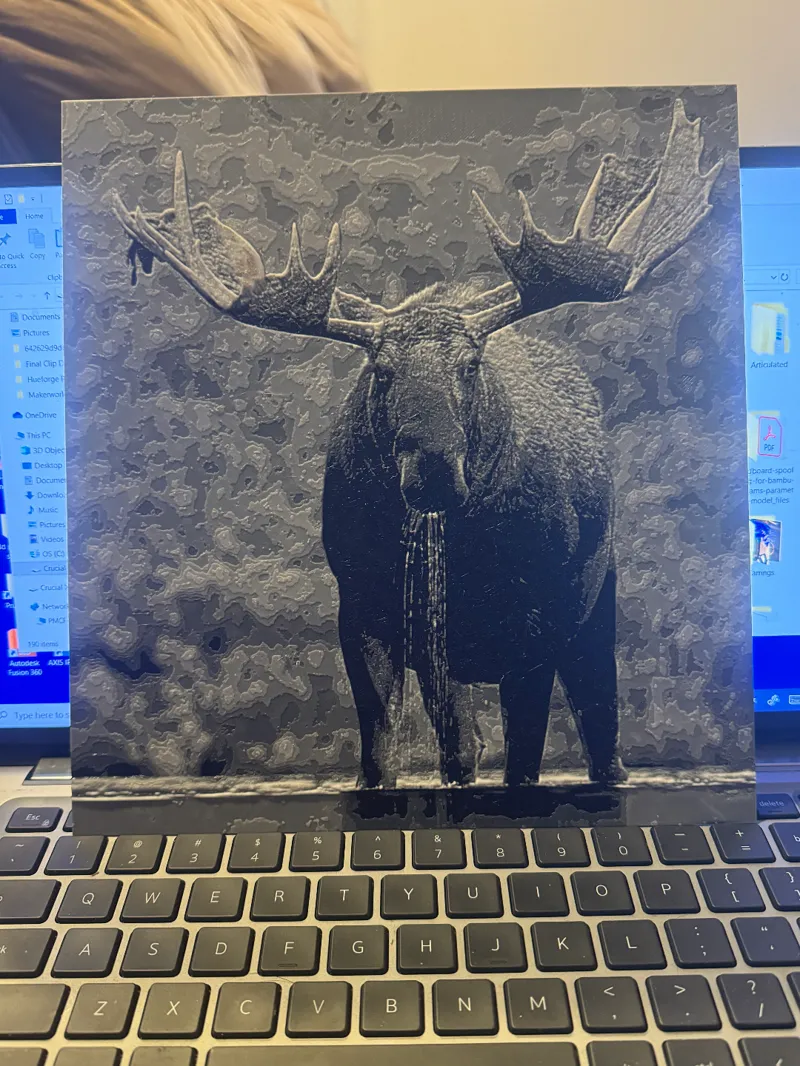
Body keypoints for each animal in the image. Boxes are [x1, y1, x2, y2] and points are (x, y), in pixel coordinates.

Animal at [111, 98, 722, 790]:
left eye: (471, 366)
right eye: (381, 370)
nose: (432, 467)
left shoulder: (537, 623)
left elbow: (523, 763)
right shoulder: (367, 613)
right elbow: (393, 754)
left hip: (597, 600)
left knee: (603, 730)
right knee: (471, 740)